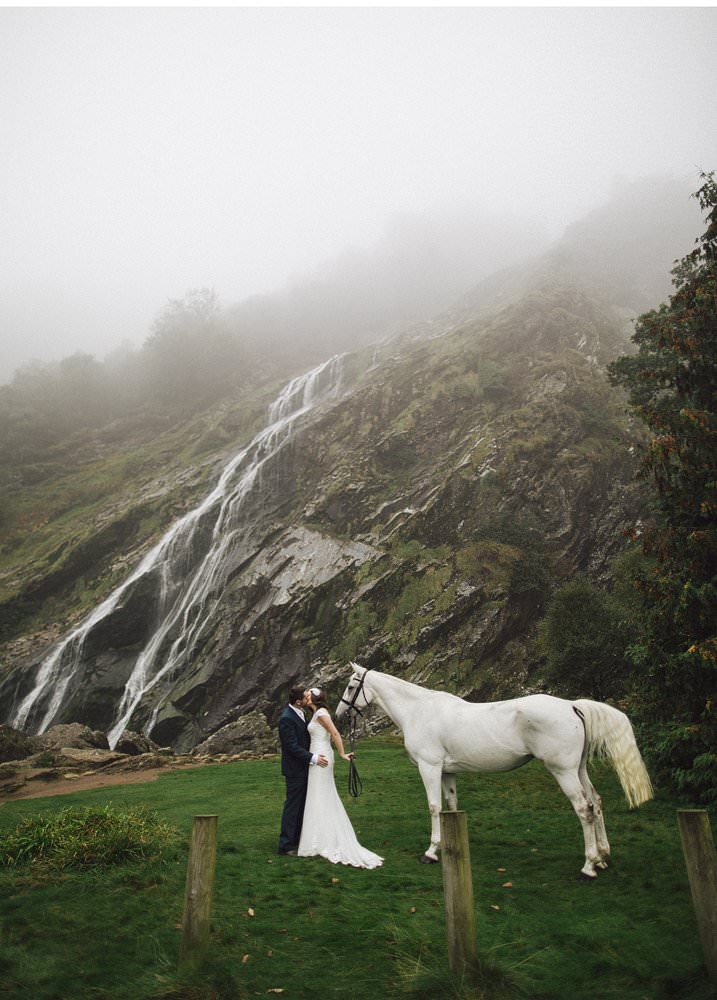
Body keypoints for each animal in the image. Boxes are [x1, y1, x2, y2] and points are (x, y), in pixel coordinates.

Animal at [332, 668, 652, 880]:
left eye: (349, 687)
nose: (338, 715)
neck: (419, 711)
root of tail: (572, 705)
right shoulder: (447, 772)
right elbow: (450, 807)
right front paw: (449, 846)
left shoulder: (430, 767)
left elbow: (434, 807)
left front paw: (431, 852)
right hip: (579, 768)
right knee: (596, 802)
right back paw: (603, 857)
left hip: (563, 771)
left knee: (584, 809)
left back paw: (588, 866)